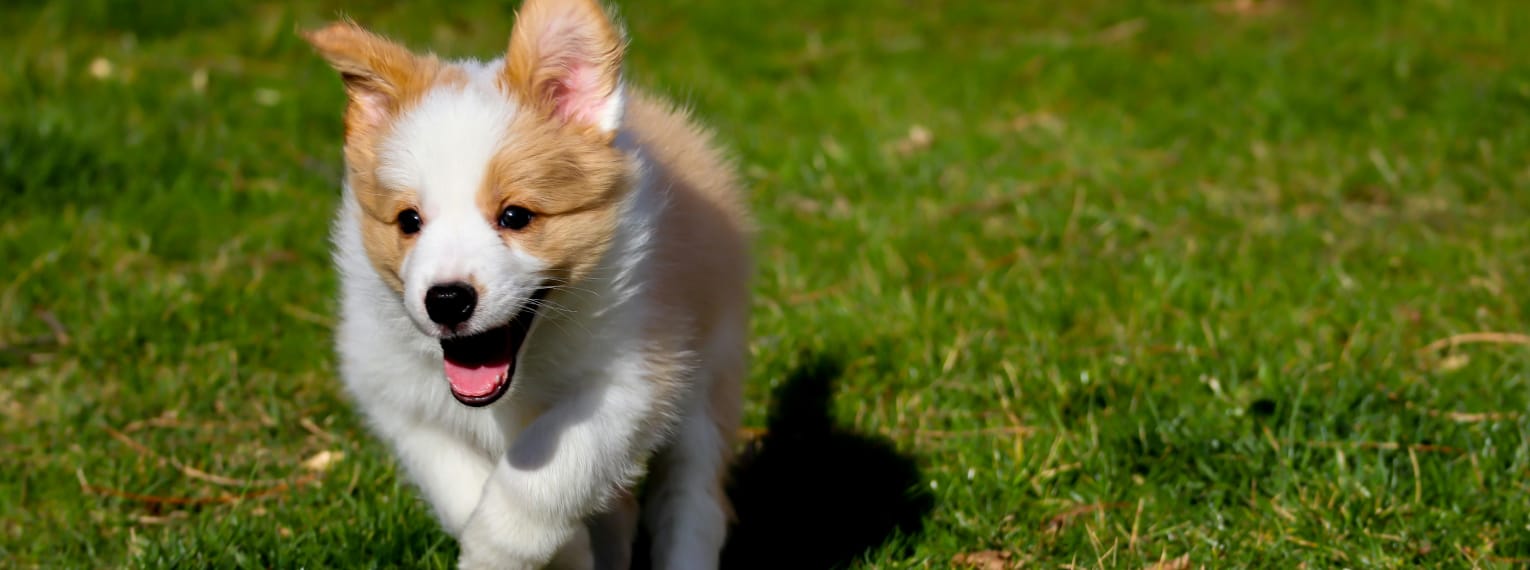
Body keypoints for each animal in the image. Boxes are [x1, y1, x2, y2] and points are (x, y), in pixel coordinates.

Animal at [302, 2, 746, 565]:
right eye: (408, 221)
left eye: (515, 216)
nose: (446, 300)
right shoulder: (396, 393)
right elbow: (458, 482)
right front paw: (562, 553)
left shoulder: (634, 378)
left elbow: (547, 470)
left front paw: (496, 549)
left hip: (710, 376)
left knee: (692, 503)